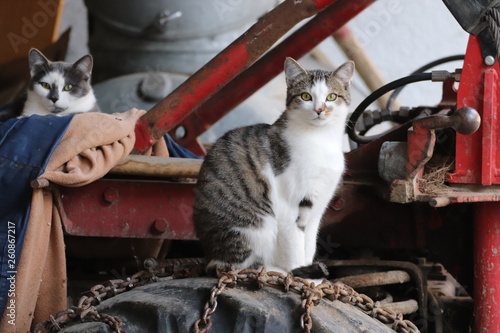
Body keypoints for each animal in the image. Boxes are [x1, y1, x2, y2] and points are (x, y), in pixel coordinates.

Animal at [193, 56, 354, 274]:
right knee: (241, 266)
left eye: (331, 97)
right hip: (257, 227)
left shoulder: (317, 208)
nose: (319, 110)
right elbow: (295, 246)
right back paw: (275, 270)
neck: (320, 139)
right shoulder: (289, 205)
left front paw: (310, 271)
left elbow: (309, 244)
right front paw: (298, 273)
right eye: (305, 96)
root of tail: (211, 257)